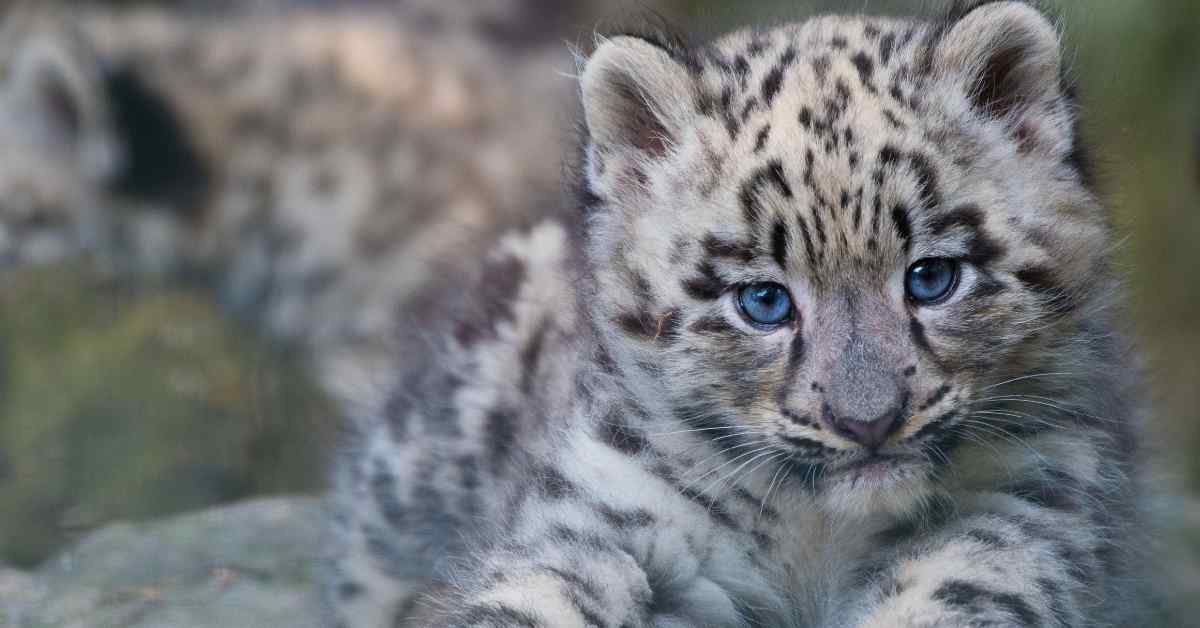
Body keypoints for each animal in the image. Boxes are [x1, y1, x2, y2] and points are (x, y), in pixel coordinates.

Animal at [326, 2, 1157, 627]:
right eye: (763, 300)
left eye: (931, 278)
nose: (868, 421)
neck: (817, 540)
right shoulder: (605, 511)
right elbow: (535, 593)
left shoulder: (1020, 514)